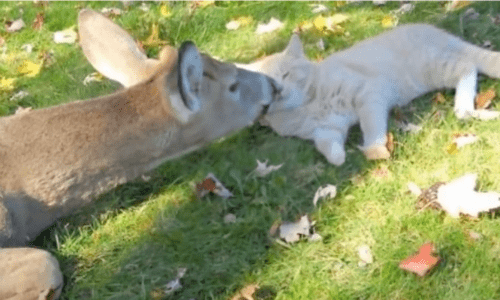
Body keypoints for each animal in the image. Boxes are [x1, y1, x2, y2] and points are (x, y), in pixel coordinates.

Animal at [240, 25, 500, 166]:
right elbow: (326, 145)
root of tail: (437, 32)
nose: (279, 89)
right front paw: (338, 157)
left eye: (286, 74)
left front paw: (374, 149)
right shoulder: (325, 130)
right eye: (268, 83)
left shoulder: (368, 94)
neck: (307, 105)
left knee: (468, 66)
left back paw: (463, 107)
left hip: (433, 67)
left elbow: (371, 125)